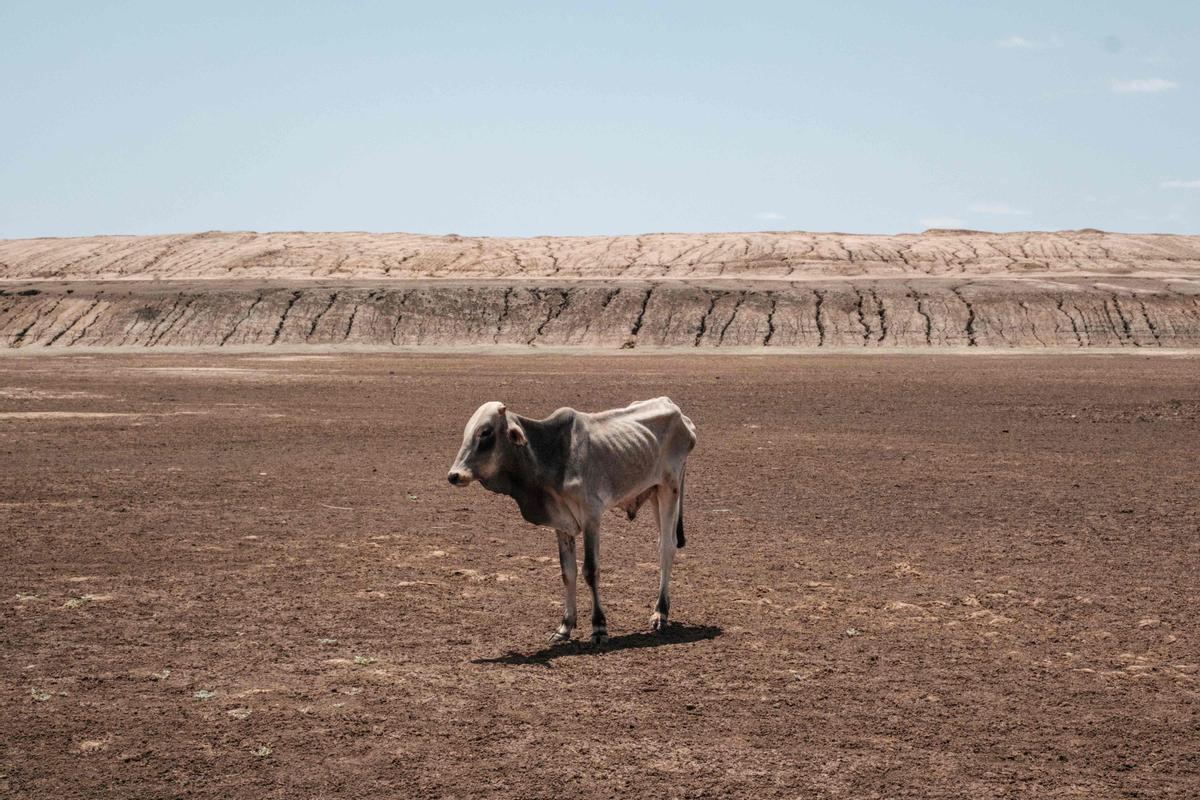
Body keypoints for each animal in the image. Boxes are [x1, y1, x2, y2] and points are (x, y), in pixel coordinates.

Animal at [448, 398, 696, 642]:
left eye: (485, 432)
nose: (454, 475)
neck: (552, 454)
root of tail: (679, 413)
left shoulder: (591, 517)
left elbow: (590, 570)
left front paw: (599, 626)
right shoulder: (562, 523)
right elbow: (567, 572)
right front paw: (565, 626)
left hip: (670, 488)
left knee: (667, 547)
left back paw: (660, 612)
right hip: (654, 492)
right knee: (663, 542)